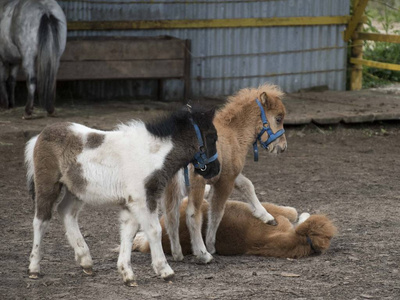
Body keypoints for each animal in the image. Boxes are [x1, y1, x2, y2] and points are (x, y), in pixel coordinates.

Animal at [24, 108, 222, 286]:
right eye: (212, 136)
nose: (215, 169)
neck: (151, 154)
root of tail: (39, 136)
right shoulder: (143, 200)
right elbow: (154, 231)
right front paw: (165, 270)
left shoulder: (131, 203)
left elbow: (129, 232)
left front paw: (127, 274)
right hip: (48, 186)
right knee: (41, 220)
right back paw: (34, 268)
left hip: (76, 191)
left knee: (66, 213)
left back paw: (85, 261)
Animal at [163, 82, 288, 262]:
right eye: (278, 118)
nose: (282, 147)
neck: (234, 133)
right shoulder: (225, 181)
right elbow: (217, 211)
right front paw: (211, 245)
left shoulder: (230, 174)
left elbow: (247, 185)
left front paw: (266, 216)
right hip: (196, 184)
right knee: (192, 214)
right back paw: (203, 254)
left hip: (170, 185)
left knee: (170, 214)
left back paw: (177, 253)